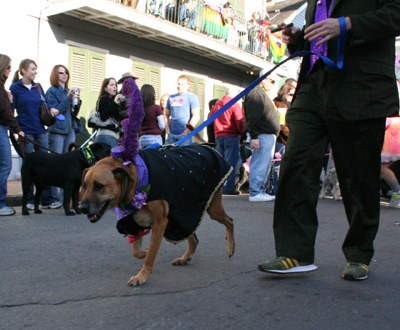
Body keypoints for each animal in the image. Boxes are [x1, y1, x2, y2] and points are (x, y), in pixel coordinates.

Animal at [79, 146, 234, 284]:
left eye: (99, 186)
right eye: (84, 185)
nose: (81, 208)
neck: (133, 181)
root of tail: (208, 148)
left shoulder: (160, 223)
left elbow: (151, 254)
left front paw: (142, 276)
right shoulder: (133, 225)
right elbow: (137, 252)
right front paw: (145, 252)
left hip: (213, 210)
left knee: (230, 221)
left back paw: (230, 247)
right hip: (184, 218)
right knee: (194, 238)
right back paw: (185, 258)